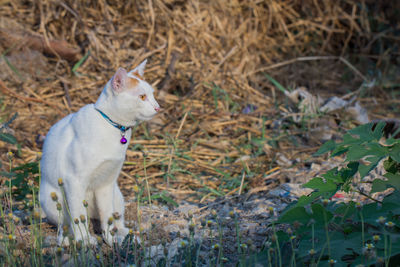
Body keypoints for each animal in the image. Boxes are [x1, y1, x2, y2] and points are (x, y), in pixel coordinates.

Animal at [39, 59, 159, 246]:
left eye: (152, 95)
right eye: (142, 97)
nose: (158, 107)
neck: (112, 126)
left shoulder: (106, 183)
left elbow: (107, 215)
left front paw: (110, 239)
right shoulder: (74, 181)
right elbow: (78, 216)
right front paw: (84, 240)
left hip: (116, 194)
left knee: (113, 218)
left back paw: (125, 234)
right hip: (53, 198)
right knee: (65, 224)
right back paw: (66, 239)